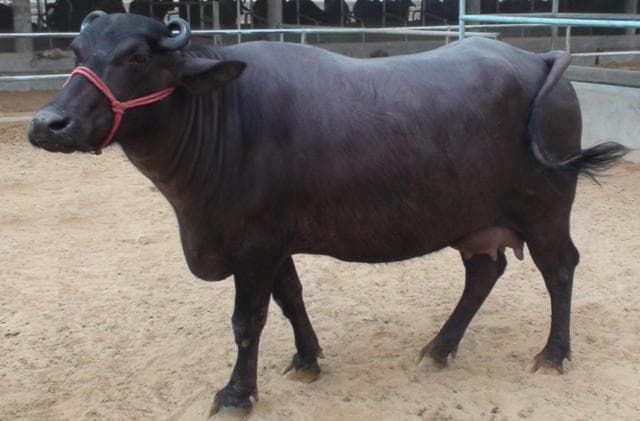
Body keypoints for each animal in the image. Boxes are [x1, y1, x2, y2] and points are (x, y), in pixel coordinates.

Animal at [29, 12, 628, 415]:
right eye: (75, 50)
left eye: (136, 56)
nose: (48, 123)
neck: (222, 118)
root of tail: (537, 59)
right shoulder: (274, 244)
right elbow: (291, 300)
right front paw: (307, 360)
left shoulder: (253, 245)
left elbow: (247, 321)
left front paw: (237, 393)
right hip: (475, 221)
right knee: (485, 272)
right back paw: (440, 347)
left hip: (547, 209)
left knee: (559, 269)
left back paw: (552, 354)